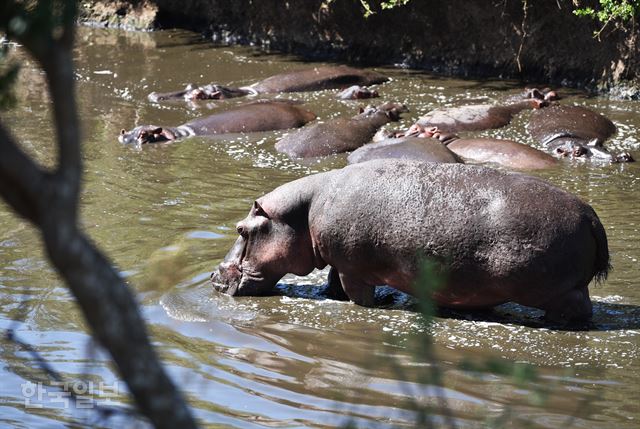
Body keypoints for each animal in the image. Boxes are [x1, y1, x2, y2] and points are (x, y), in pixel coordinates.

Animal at [211, 159, 608, 322]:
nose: (215, 276)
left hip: (561, 289)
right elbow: (332, 284)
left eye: (241, 229)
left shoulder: (354, 269)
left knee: (579, 310)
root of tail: (590, 213)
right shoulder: (339, 261)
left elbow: (357, 296)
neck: (303, 213)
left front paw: (380, 303)